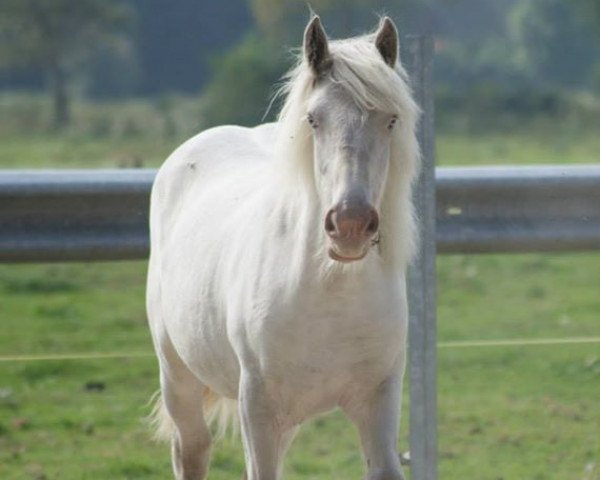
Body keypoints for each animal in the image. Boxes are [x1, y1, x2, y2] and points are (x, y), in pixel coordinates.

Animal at [148, 15, 420, 480]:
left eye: (390, 120)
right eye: (313, 119)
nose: (349, 224)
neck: (330, 296)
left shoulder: (378, 401)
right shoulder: (257, 408)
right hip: (178, 376)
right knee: (192, 448)